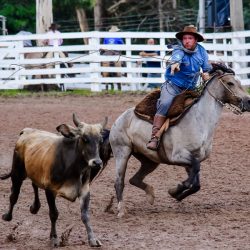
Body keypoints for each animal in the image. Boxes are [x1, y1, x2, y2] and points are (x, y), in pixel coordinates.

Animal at [0, 114, 111, 247]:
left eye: (100, 140)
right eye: (84, 138)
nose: (97, 163)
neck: (73, 167)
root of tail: (26, 131)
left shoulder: (85, 191)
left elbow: (85, 215)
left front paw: (93, 239)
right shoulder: (50, 189)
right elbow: (53, 214)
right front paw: (54, 238)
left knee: (34, 184)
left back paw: (35, 207)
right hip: (17, 173)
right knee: (14, 195)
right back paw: (8, 216)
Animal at [109, 63, 250, 218]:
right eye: (230, 83)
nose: (248, 101)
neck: (199, 120)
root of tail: (120, 118)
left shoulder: (194, 158)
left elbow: (196, 183)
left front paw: (176, 193)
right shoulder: (178, 156)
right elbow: (193, 177)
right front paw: (178, 188)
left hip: (149, 161)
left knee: (134, 179)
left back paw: (150, 195)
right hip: (122, 153)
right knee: (119, 181)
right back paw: (121, 210)